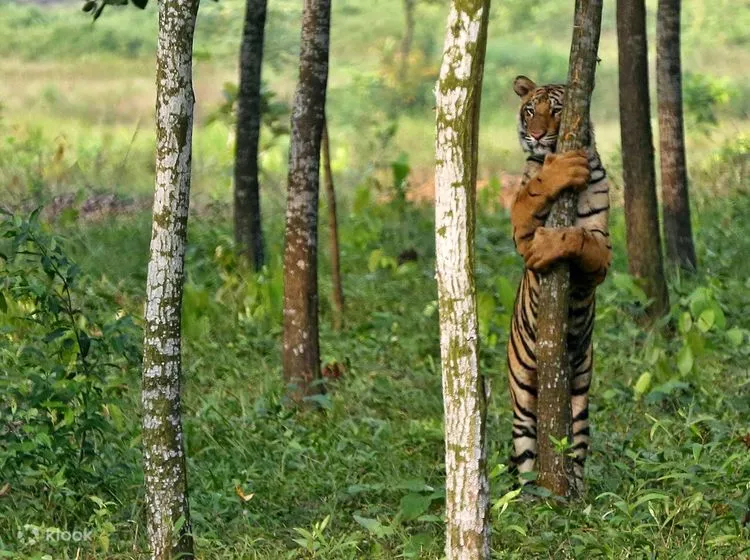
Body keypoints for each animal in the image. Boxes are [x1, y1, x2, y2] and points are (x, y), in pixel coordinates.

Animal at [508, 75, 612, 490]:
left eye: (557, 111)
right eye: (529, 111)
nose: (536, 135)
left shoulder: (603, 251)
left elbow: (578, 237)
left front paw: (552, 244)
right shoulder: (520, 229)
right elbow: (531, 193)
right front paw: (556, 170)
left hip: (580, 393)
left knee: (578, 447)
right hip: (522, 395)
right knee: (525, 452)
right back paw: (525, 494)